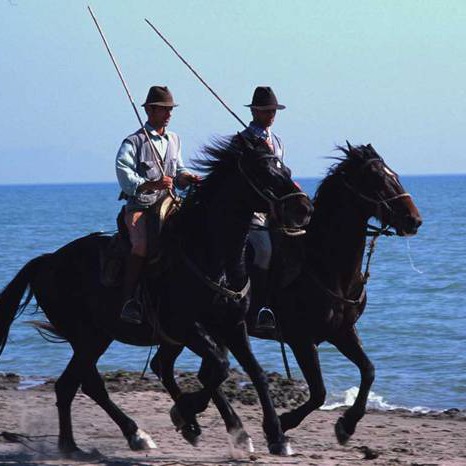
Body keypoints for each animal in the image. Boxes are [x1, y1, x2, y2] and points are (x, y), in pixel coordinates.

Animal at [0, 134, 314, 456]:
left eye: (284, 167)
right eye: (263, 170)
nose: (303, 208)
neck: (208, 253)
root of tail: (47, 261)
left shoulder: (232, 325)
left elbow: (254, 372)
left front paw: (275, 435)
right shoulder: (186, 327)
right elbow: (219, 368)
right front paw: (187, 415)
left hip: (98, 336)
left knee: (78, 384)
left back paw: (97, 440)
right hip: (88, 337)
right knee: (80, 384)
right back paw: (101, 440)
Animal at [152, 142, 422, 448]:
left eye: (394, 174)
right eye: (377, 179)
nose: (414, 220)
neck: (322, 262)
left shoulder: (342, 331)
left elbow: (369, 371)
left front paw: (348, 424)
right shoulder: (300, 339)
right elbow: (319, 392)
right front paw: (283, 423)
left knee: (172, 366)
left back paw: (205, 421)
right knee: (176, 367)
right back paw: (196, 416)